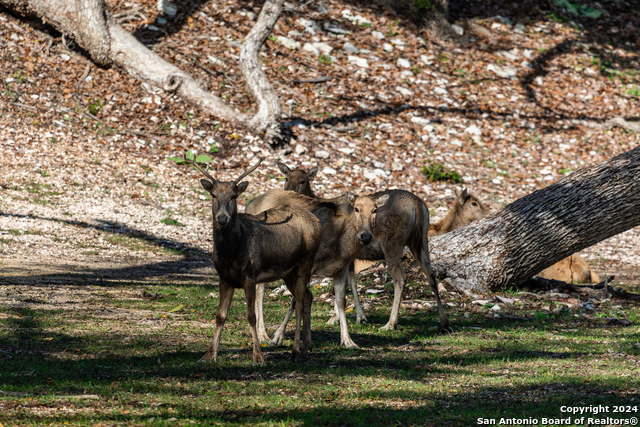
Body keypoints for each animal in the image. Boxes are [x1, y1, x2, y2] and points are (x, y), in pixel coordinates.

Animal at [189, 157, 320, 368]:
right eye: (213, 195)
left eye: (234, 196)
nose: (222, 218)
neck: (230, 253)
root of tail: (317, 222)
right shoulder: (224, 278)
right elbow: (220, 316)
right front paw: (209, 355)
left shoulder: (249, 275)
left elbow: (251, 316)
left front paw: (258, 357)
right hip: (288, 272)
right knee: (307, 297)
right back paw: (306, 348)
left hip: (306, 262)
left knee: (299, 302)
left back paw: (295, 351)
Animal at [245, 190, 364, 348]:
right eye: (356, 210)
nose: (366, 236)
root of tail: (249, 204)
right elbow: (296, 299)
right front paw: (277, 336)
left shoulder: (341, 267)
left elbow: (341, 298)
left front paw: (348, 338)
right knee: (259, 291)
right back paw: (262, 334)